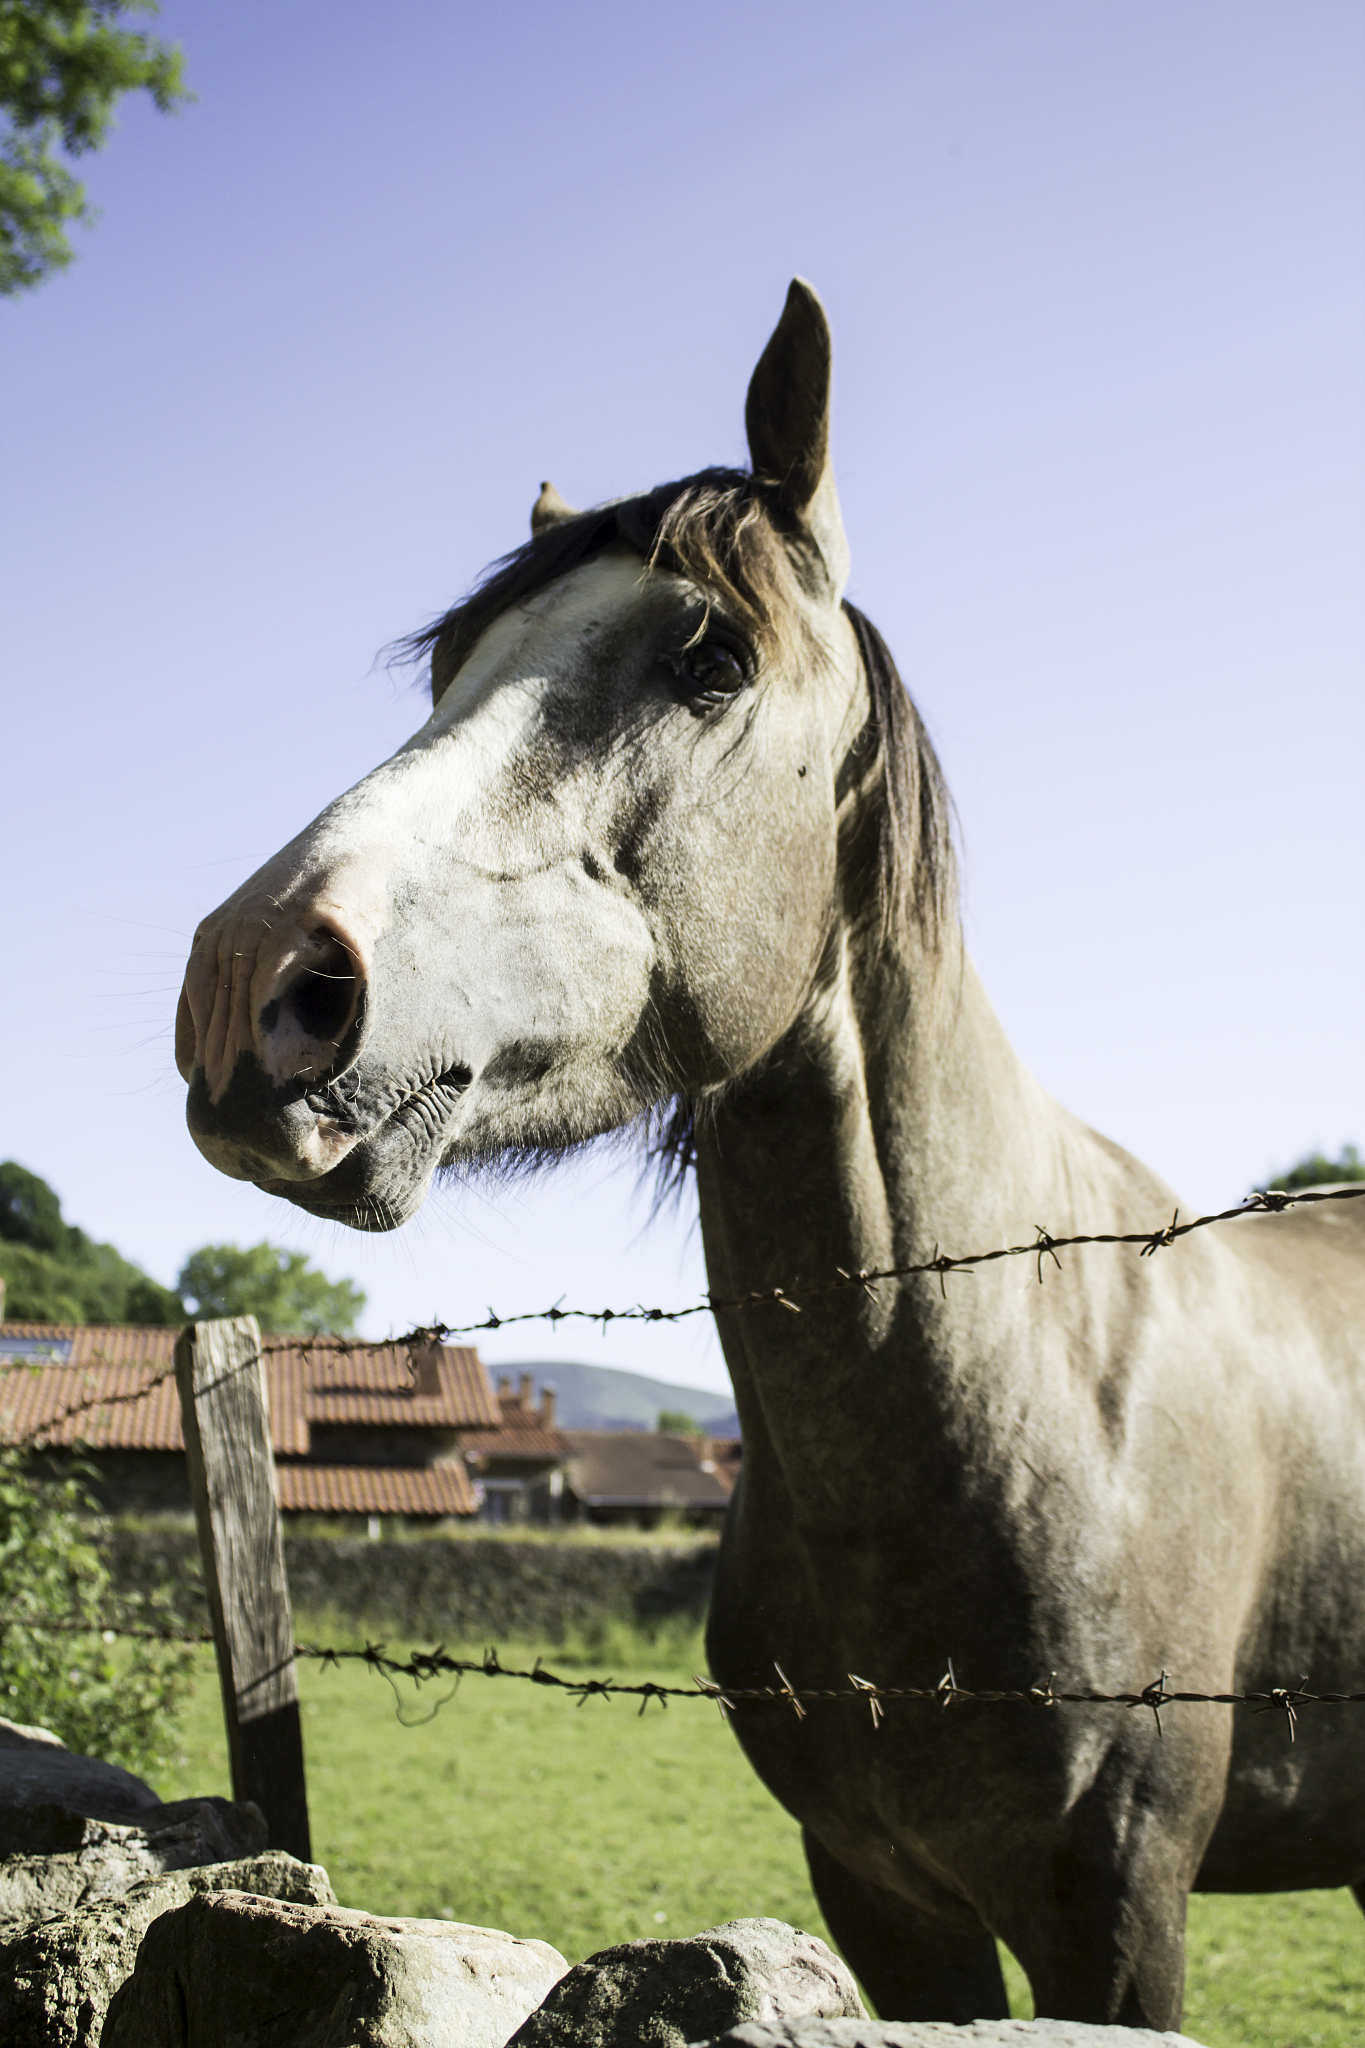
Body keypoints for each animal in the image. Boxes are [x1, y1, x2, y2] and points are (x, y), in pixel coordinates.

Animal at [174, 280, 1365, 2030]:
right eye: (450, 663)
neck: (1019, 1382)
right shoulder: (878, 1895)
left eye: (711, 658)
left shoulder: (1118, 1911)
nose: (250, 984)